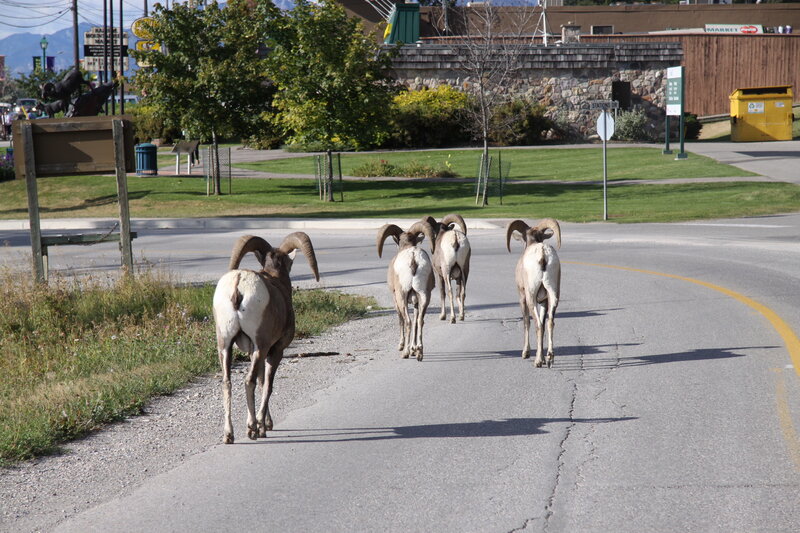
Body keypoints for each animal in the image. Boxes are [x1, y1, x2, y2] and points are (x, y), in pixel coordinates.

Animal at [212, 232, 320, 444]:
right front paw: (263, 426)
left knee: (227, 383)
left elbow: (262, 382)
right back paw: (252, 429)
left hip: (225, 345)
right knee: (249, 381)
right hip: (260, 346)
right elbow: (268, 385)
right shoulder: (275, 350)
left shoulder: (252, 351)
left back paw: (229, 435)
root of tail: (238, 283)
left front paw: (266, 424)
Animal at [377, 221, 436, 361]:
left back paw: (405, 353)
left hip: (402, 296)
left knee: (408, 321)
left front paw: (402, 346)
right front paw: (414, 349)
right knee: (419, 321)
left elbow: (401, 320)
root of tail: (413, 258)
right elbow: (416, 321)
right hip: (424, 295)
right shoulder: (415, 302)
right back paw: (419, 352)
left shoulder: (395, 298)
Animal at [506, 218, 562, 368]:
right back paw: (549, 358)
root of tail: (542, 254)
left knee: (537, 324)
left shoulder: (523, 298)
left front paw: (526, 353)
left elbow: (526, 322)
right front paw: (541, 356)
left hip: (531, 297)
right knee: (549, 322)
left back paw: (537, 362)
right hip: (553, 295)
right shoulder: (543, 301)